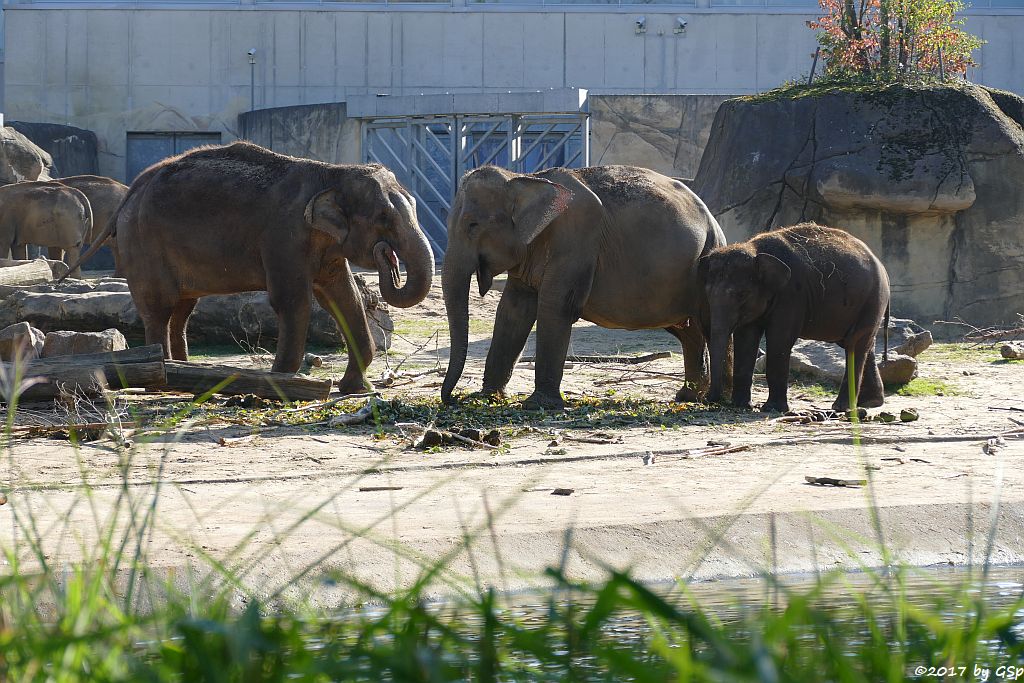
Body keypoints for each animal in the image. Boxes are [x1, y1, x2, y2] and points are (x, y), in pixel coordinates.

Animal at [78, 141, 432, 393]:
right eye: (383, 218)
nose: (388, 255)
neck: (333, 173)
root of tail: (132, 190)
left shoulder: (324, 245)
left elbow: (345, 299)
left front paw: (356, 389)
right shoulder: (283, 235)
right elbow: (293, 301)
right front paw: (283, 385)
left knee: (182, 309)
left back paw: (184, 371)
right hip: (143, 243)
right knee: (159, 307)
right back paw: (162, 378)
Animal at [704, 224, 888, 413]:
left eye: (741, 294)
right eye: (707, 294)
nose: (709, 400)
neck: (755, 250)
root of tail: (881, 265)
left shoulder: (792, 295)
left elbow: (779, 339)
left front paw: (772, 409)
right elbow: (746, 339)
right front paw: (742, 405)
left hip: (872, 300)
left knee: (854, 344)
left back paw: (841, 407)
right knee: (862, 344)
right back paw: (869, 402)